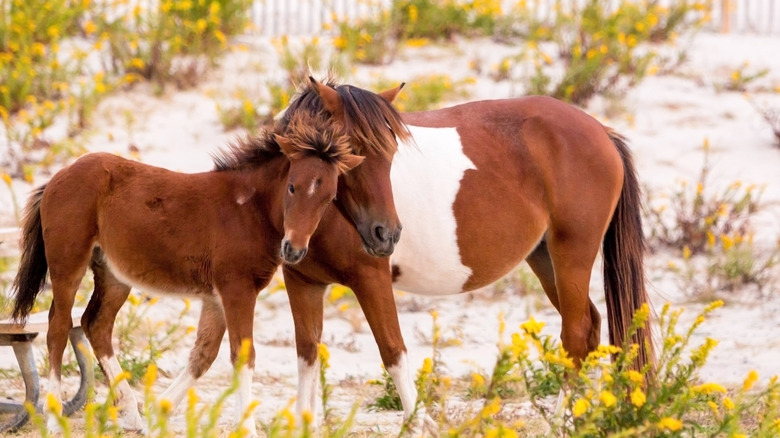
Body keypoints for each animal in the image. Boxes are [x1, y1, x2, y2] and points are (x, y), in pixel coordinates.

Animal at [8, 103, 403, 435]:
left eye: (328, 197)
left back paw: (132, 414)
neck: (249, 210)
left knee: (96, 324)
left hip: (114, 274)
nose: (294, 249)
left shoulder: (216, 297)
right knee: (59, 327)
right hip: (68, 264)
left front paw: (159, 414)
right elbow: (243, 357)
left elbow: (204, 356)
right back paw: (55, 420)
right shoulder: (237, 290)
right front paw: (248, 429)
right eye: (292, 187)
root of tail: (57, 177)